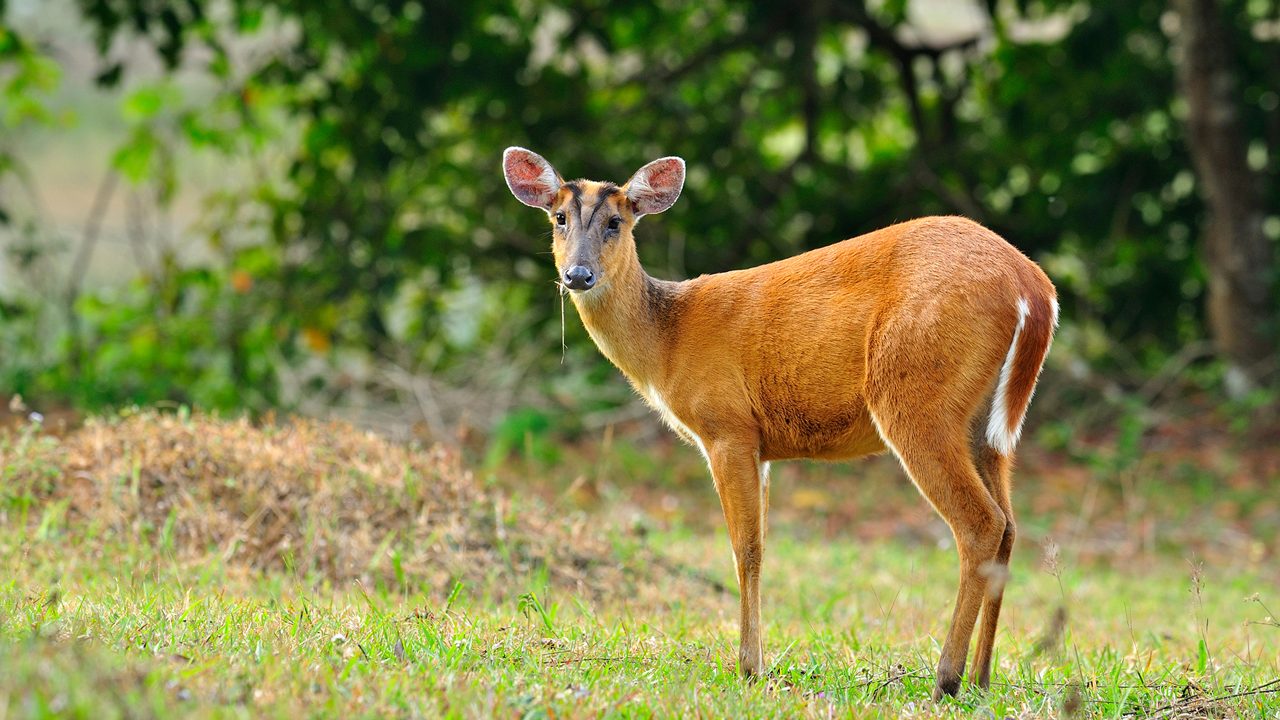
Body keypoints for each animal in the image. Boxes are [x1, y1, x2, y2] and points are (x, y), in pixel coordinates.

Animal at [501, 142, 1059, 696]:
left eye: (616, 221)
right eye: (558, 218)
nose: (578, 275)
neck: (667, 341)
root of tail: (1034, 287)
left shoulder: (726, 426)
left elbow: (745, 549)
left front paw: (749, 667)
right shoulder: (761, 446)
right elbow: (762, 546)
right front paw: (756, 662)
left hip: (916, 395)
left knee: (981, 523)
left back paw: (946, 679)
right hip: (986, 425)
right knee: (1009, 526)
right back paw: (983, 677)